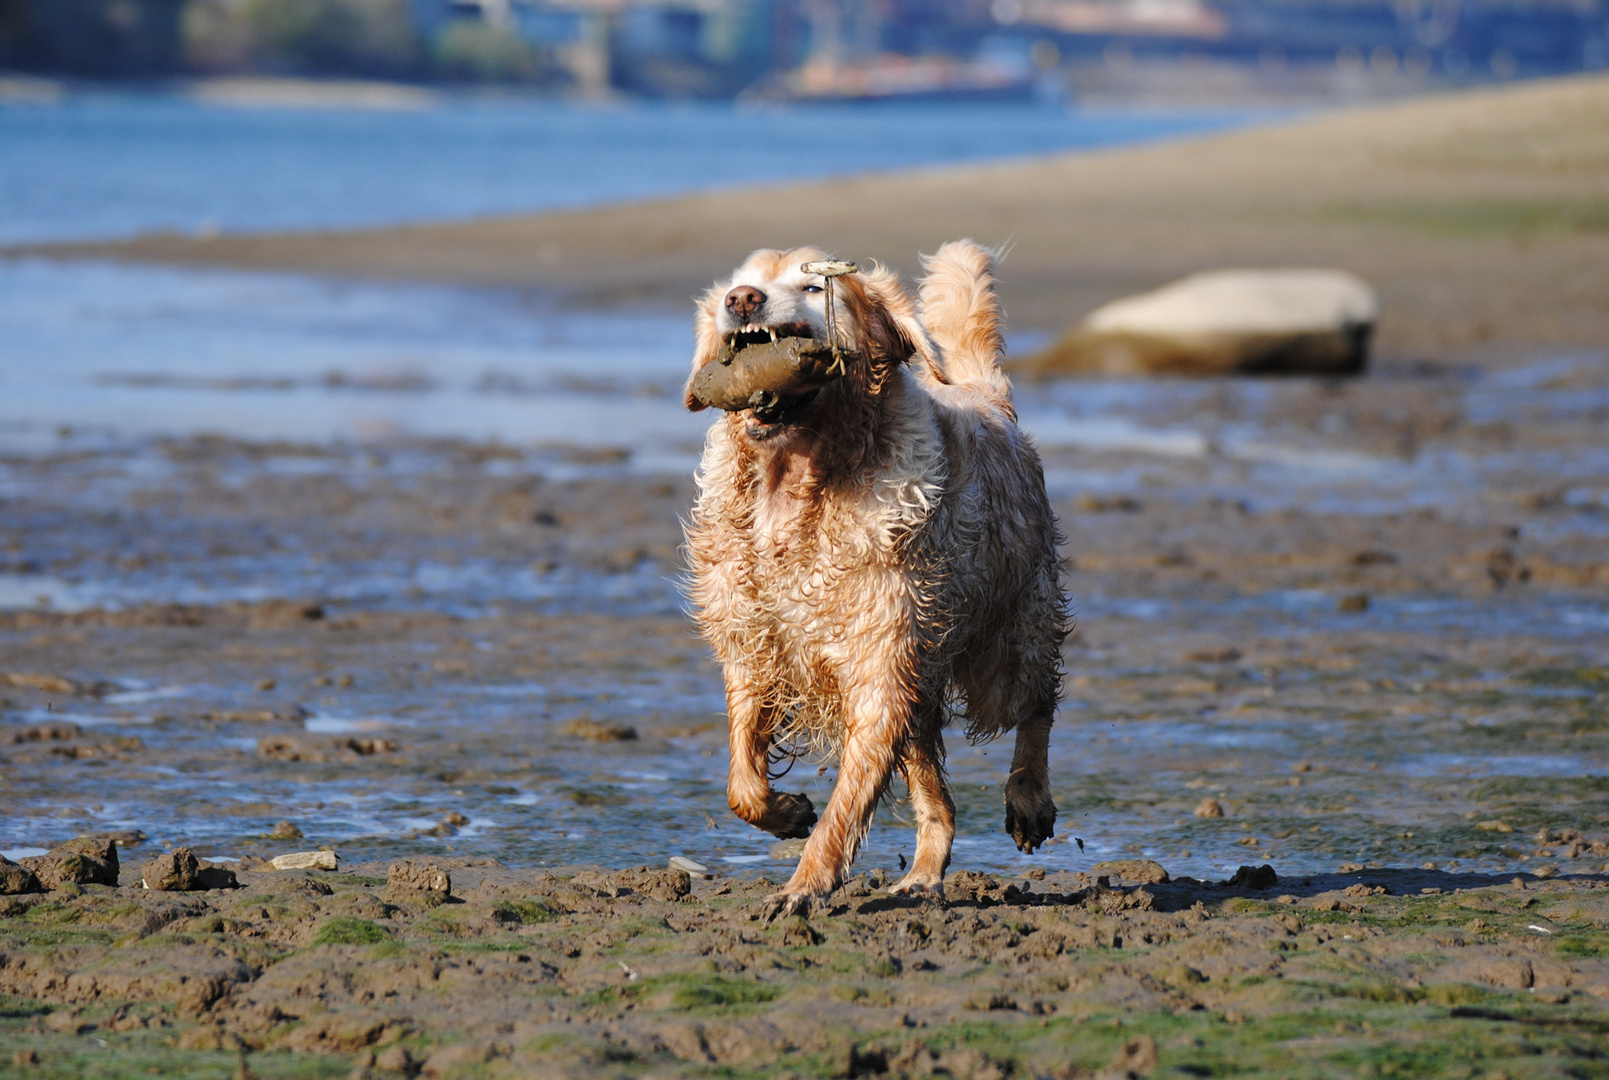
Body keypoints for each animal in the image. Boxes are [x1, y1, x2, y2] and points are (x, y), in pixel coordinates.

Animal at [682, 243, 1068, 914]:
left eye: (815, 286)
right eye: (740, 282)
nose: (743, 300)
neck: (791, 489)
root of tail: (989, 398)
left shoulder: (879, 670)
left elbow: (844, 808)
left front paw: (804, 886)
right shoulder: (753, 648)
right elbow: (742, 779)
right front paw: (786, 811)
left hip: (1006, 640)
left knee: (1037, 699)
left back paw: (1028, 800)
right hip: (924, 689)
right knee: (939, 803)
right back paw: (922, 876)